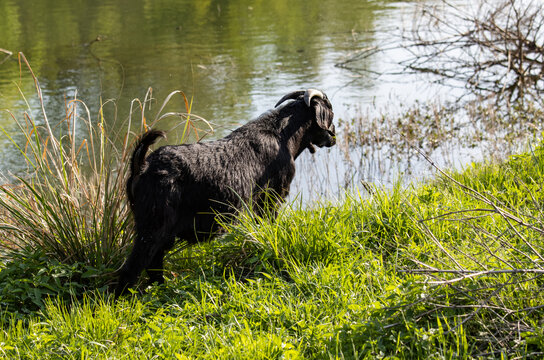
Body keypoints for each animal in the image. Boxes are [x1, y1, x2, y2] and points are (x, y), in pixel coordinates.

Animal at [115, 88, 336, 296]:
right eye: (331, 113)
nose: (333, 136)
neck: (282, 133)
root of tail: (142, 166)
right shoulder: (270, 198)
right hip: (152, 228)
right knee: (131, 268)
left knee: (154, 263)